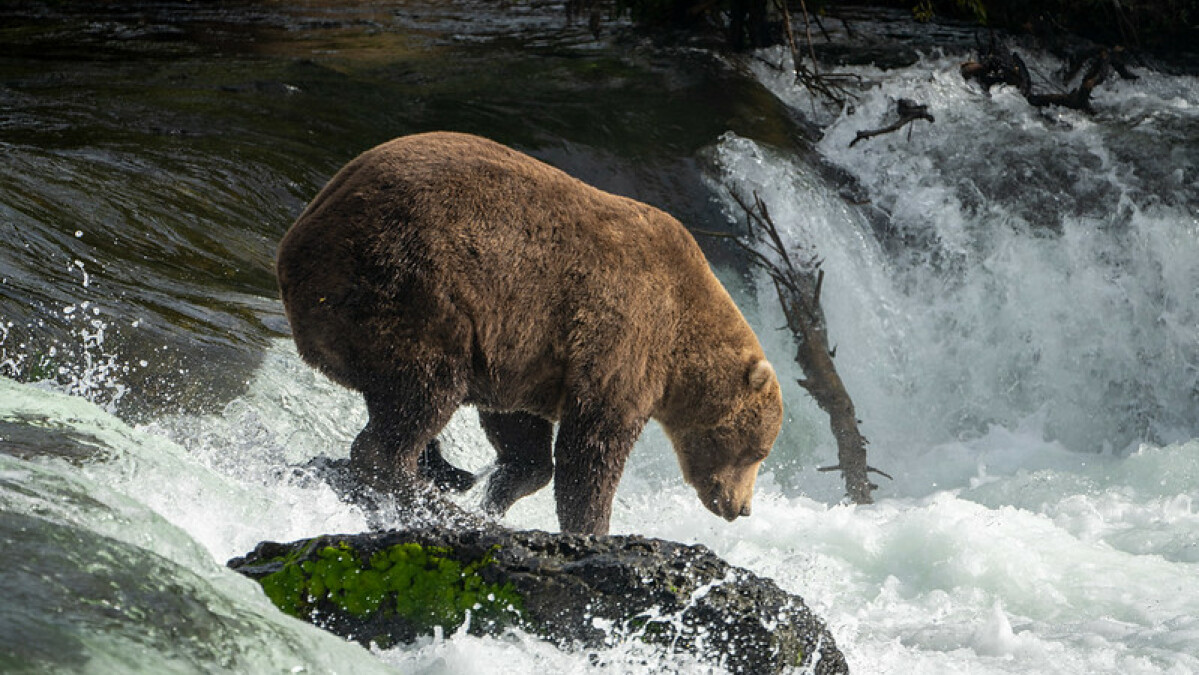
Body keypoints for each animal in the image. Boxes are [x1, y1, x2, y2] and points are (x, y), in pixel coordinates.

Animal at [280, 130, 786, 534]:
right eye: (757, 452)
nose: (742, 507)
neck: (682, 350)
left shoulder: (522, 352)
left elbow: (521, 430)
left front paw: (500, 492)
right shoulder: (626, 339)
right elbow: (593, 450)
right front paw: (592, 527)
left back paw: (445, 474)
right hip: (411, 285)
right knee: (422, 395)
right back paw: (422, 491)